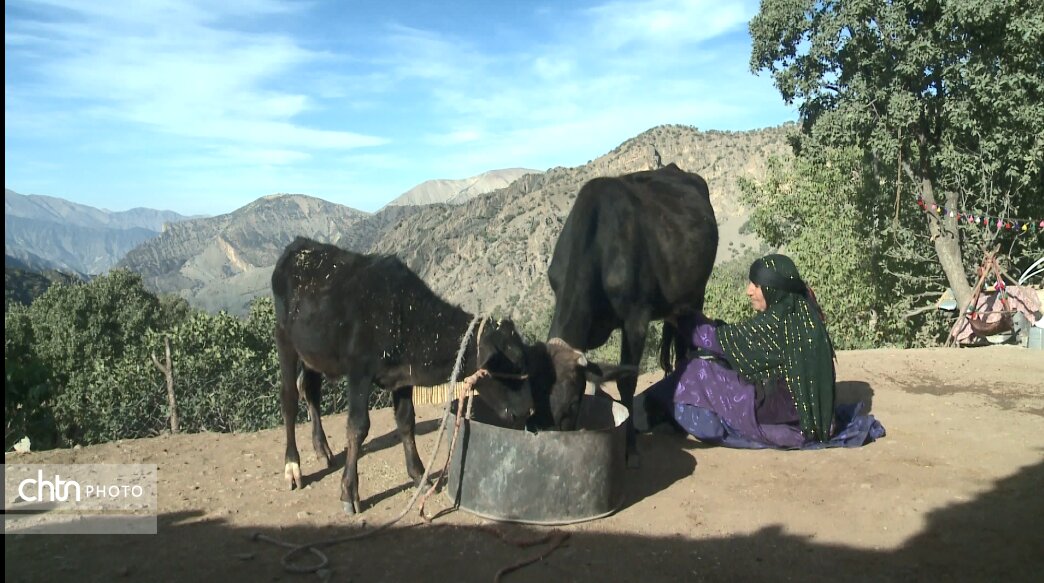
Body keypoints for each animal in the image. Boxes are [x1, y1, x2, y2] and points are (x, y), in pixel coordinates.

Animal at [271, 236, 530, 511]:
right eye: (510, 363)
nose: (526, 411)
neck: (404, 315)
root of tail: (299, 245)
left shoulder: (403, 378)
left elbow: (406, 421)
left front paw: (419, 475)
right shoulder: (359, 372)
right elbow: (357, 427)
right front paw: (349, 492)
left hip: (313, 352)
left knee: (310, 390)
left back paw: (322, 449)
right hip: (284, 339)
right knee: (289, 398)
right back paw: (293, 467)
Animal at [538, 165, 718, 465]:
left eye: (571, 405)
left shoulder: (636, 320)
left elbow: (626, 381)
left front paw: (630, 447)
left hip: (695, 296)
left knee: (685, 351)